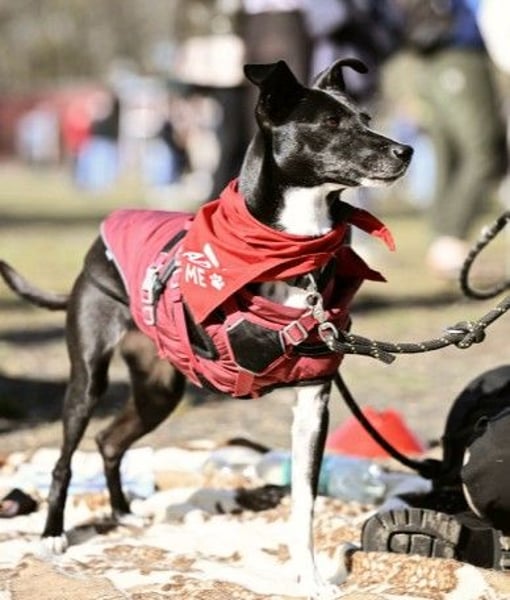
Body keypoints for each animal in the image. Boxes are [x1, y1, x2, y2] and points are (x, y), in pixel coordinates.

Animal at [0, 59, 412, 598]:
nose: (405, 151)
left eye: (366, 118)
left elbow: (304, 504)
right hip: (88, 378)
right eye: (330, 124)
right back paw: (52, 533)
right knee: (66, 458)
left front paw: (312, 579)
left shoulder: (313, 403)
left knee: (109, 441)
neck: (290, 255)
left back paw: (123, 512)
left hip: (160, 389)